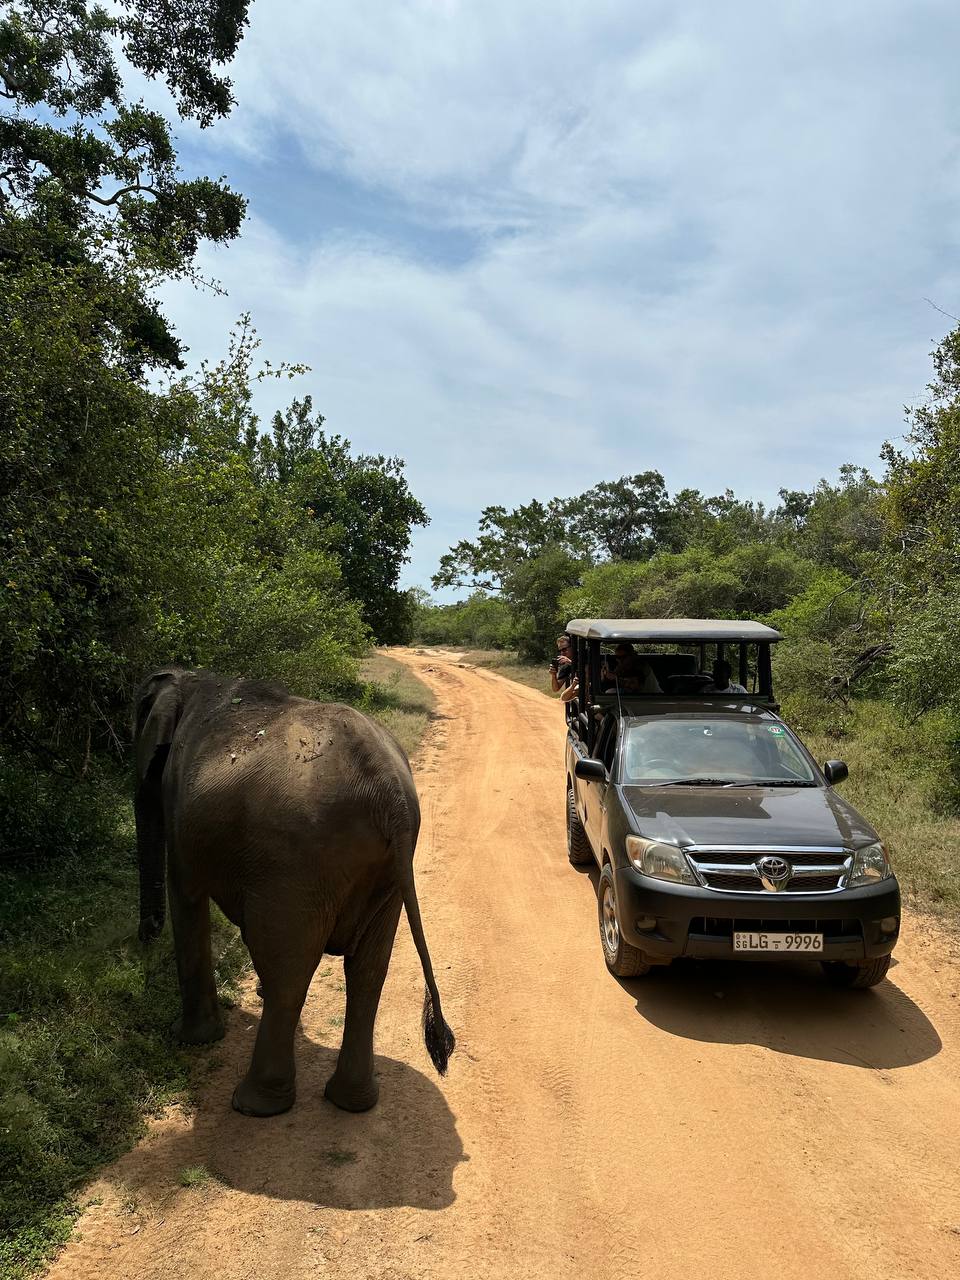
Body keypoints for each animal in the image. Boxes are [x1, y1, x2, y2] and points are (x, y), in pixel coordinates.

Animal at [132, 665, 458, 1116]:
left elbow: (187, 897)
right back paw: (352, 1102)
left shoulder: (178, 804)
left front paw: (189, 1038)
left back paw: (253, 1105)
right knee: (367, 972)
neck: (188, 677)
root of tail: (388, 787)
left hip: (295, 861)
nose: (142, 941)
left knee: (289, 974)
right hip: (386, 872)